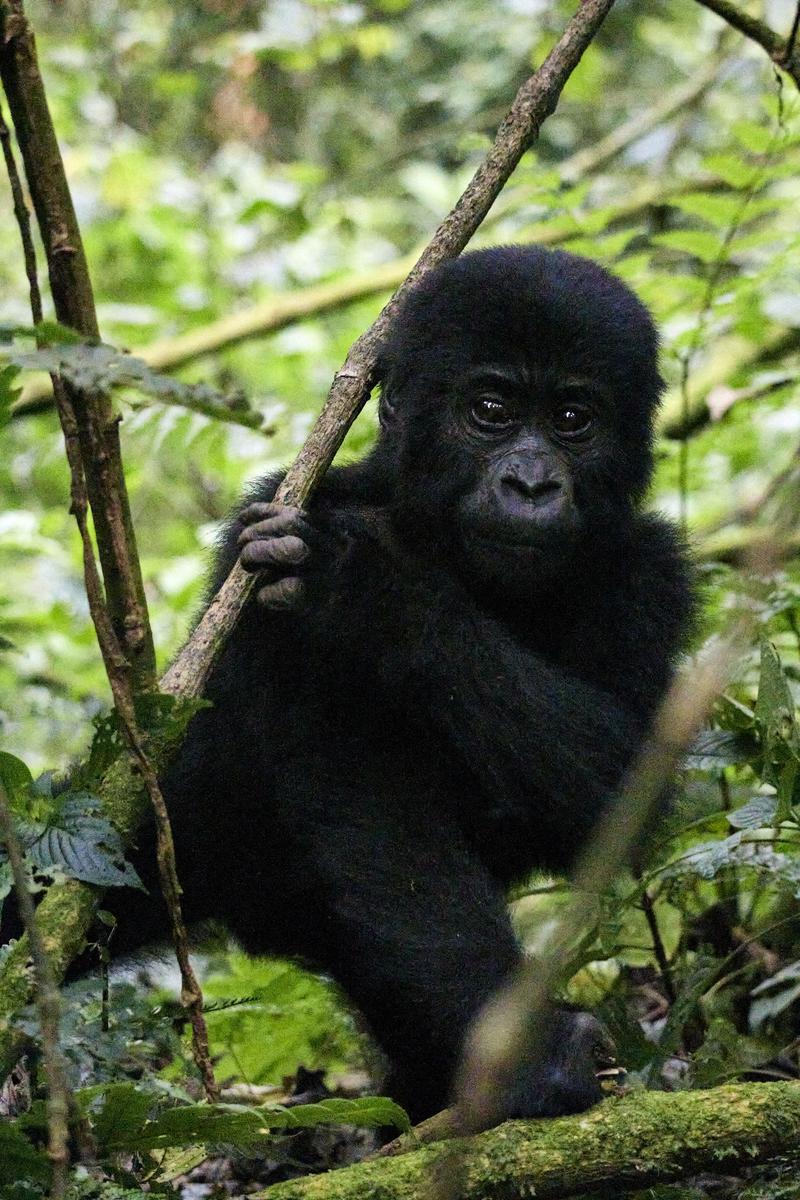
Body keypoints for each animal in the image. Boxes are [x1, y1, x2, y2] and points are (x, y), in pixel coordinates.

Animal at [115, 243, 690, 1123]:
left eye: (572, 419)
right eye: (489, 409)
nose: (531, 485)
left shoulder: (652, 572)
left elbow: (623, 786)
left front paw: (371, 588)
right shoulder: (267, 557)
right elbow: (382, 817)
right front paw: (531, 1057)